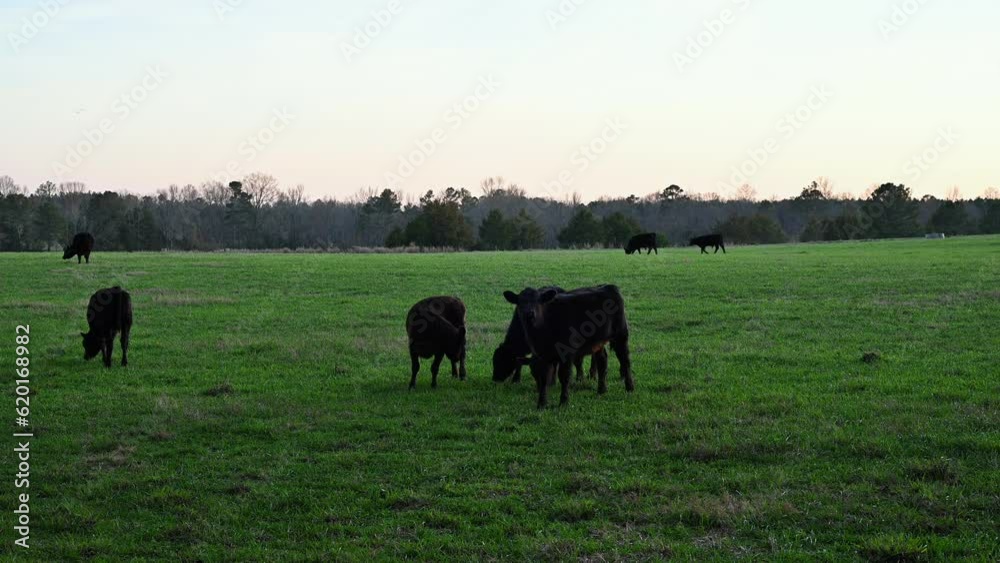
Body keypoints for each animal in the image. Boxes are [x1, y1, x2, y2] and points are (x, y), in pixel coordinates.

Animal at [503, 285, 634, 408]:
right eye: (520, 302)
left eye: (538, 300)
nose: (529, 313)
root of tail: (610, 287)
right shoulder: (542, 356)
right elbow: (545, 377)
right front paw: (542, 403)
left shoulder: (567, 353)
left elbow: (564, 376)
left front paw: (564, 401)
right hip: (598, 342)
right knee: (602, 360)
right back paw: (602, 390)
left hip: (621, 335)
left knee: (625, 360)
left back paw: (630, 387)